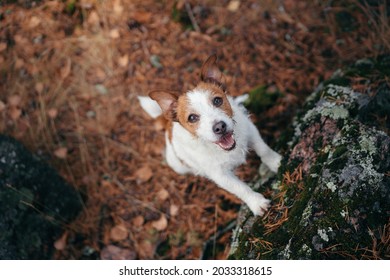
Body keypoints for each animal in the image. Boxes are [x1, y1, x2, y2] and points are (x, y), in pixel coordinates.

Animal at [139, 55, 282, 217]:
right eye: (192, 118)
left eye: (217, 100)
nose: (220, 127)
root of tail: (168, 123)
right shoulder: (220, 175)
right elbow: (240, 188)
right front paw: (256, 202)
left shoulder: (250, 130)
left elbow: (264, 150)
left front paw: (276, 162)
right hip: (178, 165)